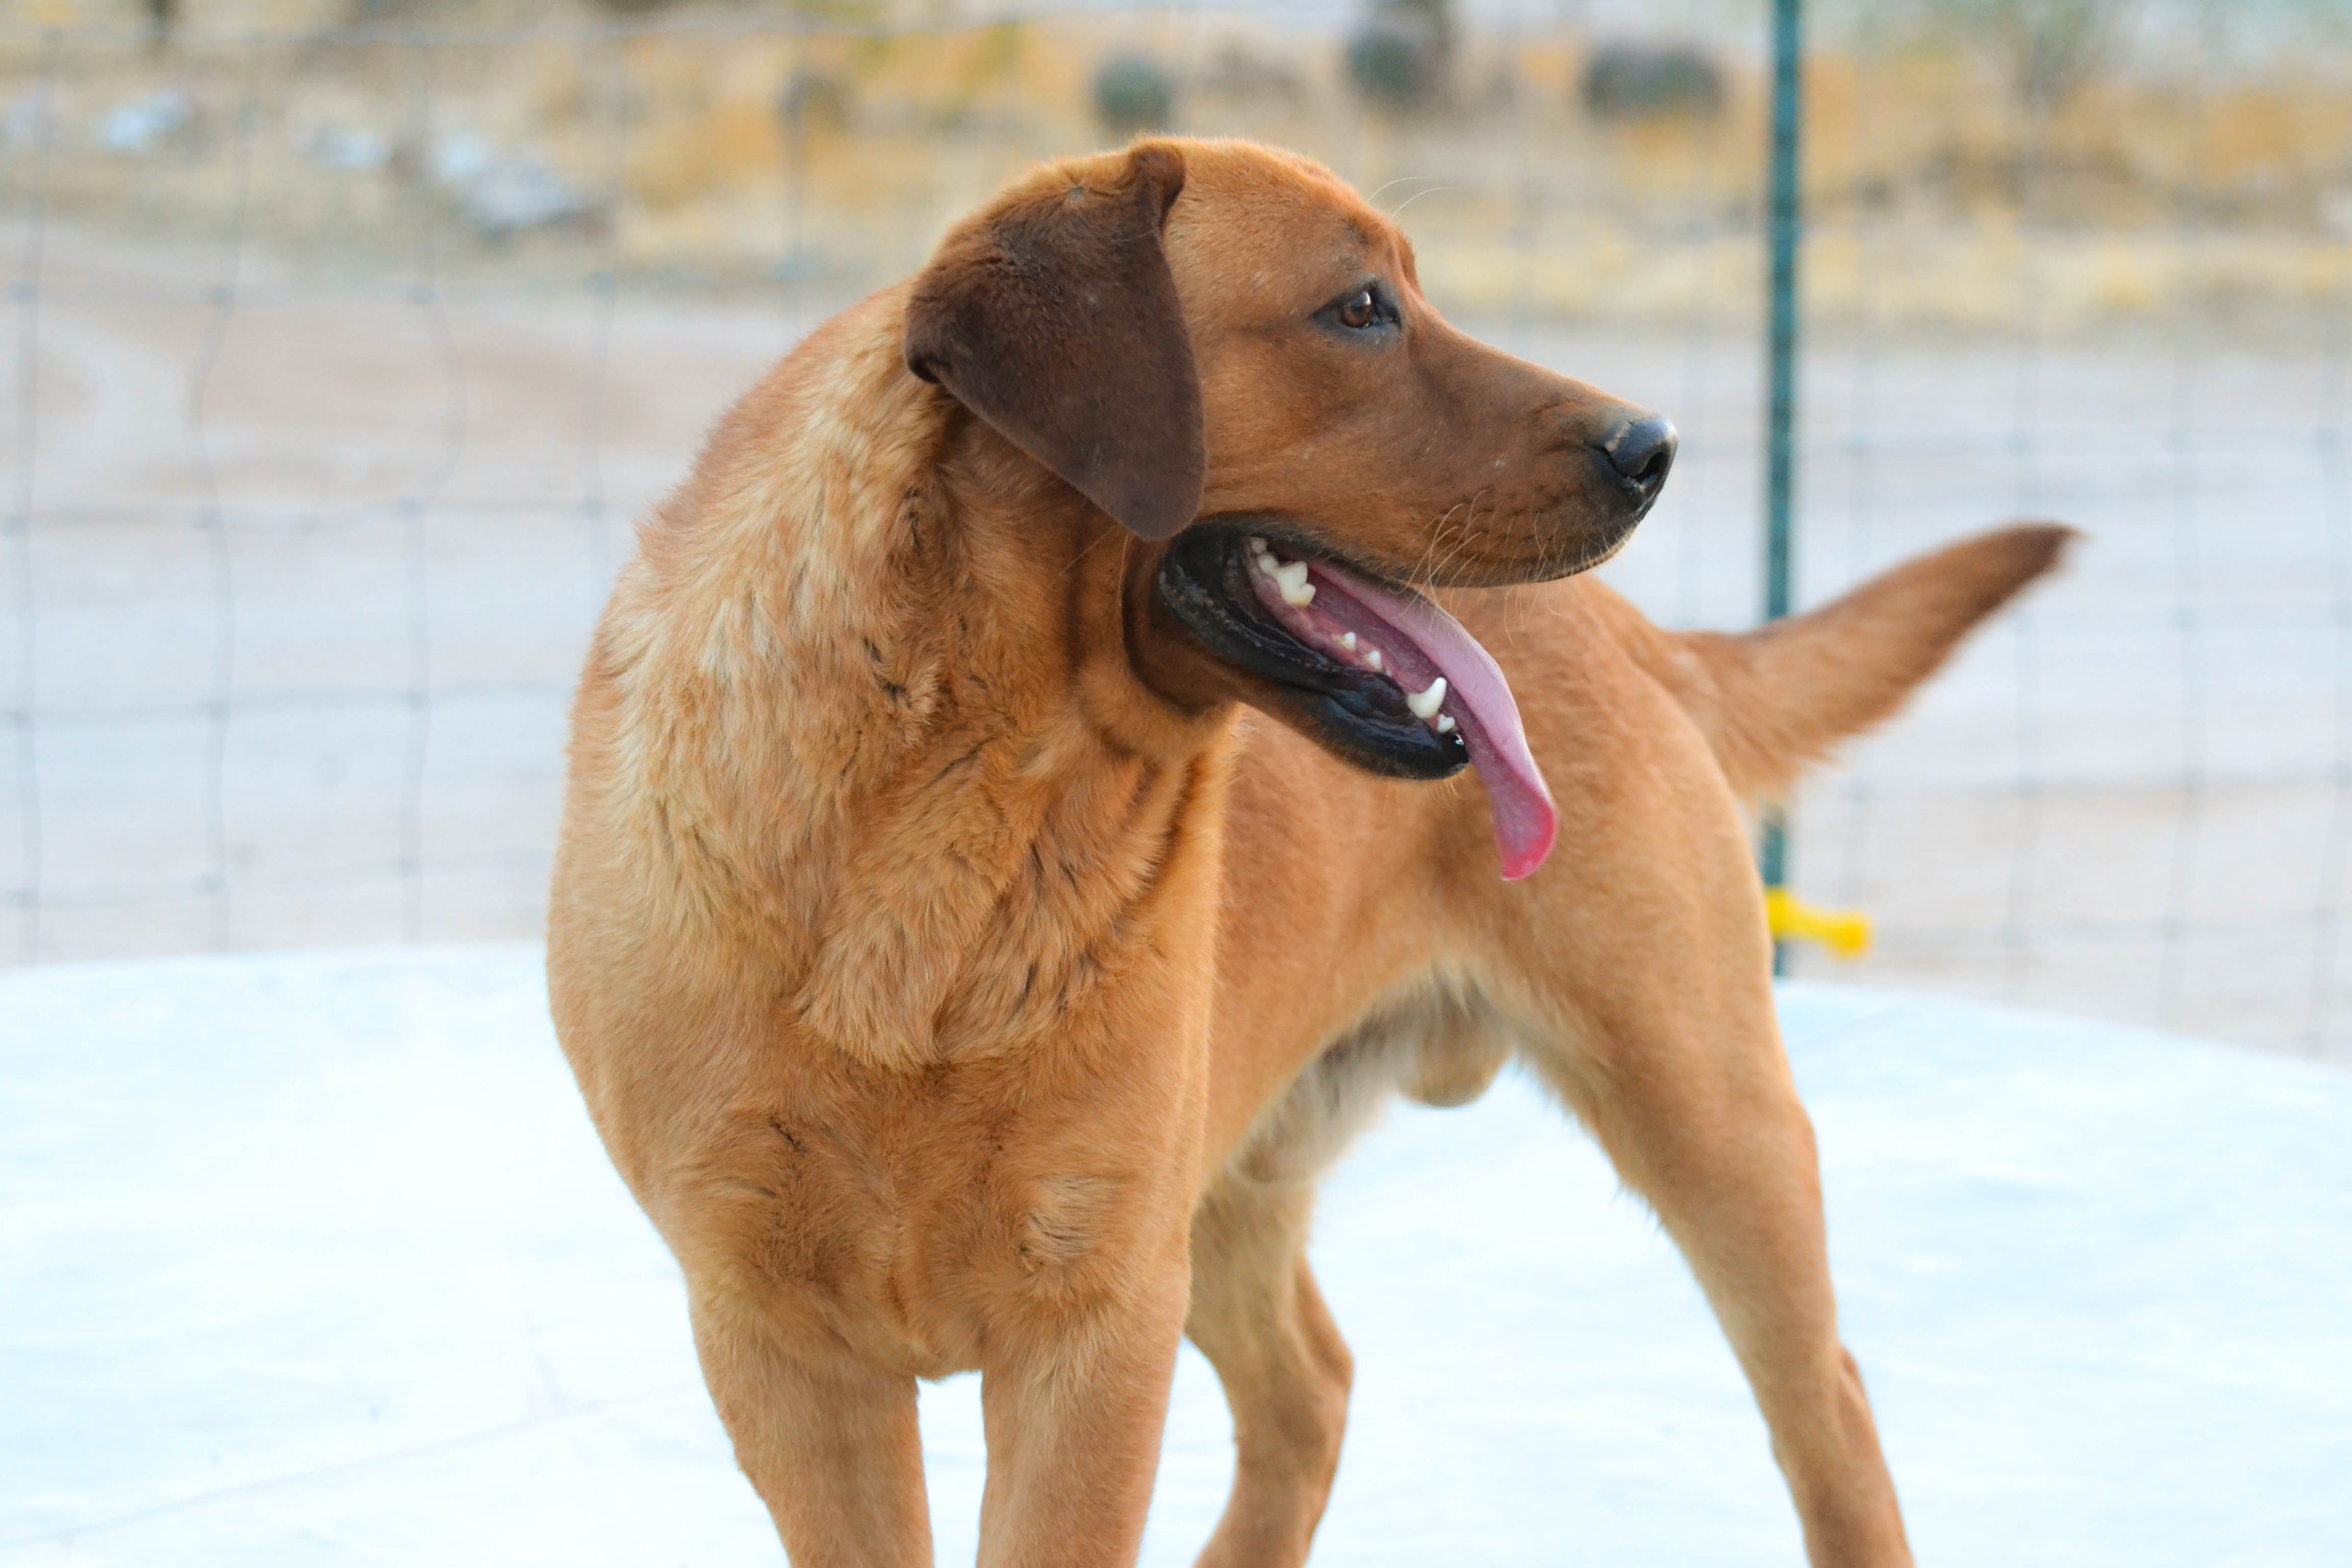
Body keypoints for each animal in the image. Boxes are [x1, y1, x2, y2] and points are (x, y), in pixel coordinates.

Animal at [548, 138, 2068, 1567]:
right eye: (1359, 309)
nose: (1656, 446)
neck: (953, 830)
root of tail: (1637, 630)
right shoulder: (784, 1352)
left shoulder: (1094, 1321)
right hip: (1236, 1197)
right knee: (1311, 1391)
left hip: (1708, 1117)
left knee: (1828, 1411)